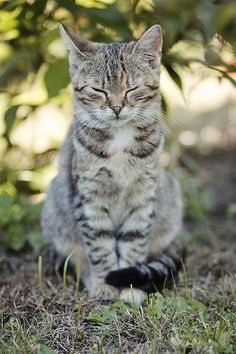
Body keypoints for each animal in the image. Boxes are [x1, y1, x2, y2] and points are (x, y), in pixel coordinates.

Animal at [41, 22, 183, 304]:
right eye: (98, 91)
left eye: (132, 89)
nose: (117, 107)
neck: (120, 141)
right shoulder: (89, 199)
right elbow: (100, 245)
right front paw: (105, 283)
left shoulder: (143, 196)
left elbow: (134, 243)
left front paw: (129, 288)